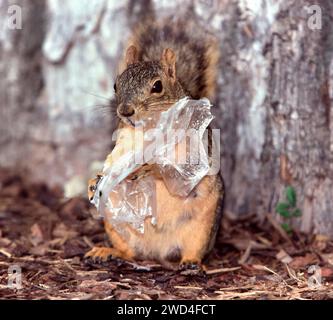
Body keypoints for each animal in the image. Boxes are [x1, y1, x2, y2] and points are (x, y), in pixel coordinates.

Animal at [85, 15, 223, 270]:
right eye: (116, 85)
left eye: (157, 86)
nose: (125, 111)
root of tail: (158, 253)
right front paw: (95, 179)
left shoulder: (194, 148)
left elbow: (182, 171)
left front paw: (150, 168)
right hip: (118, 229)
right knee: (130, 253)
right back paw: (107, 252)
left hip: (203, 228)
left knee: (194, 250)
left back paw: (191, 262)